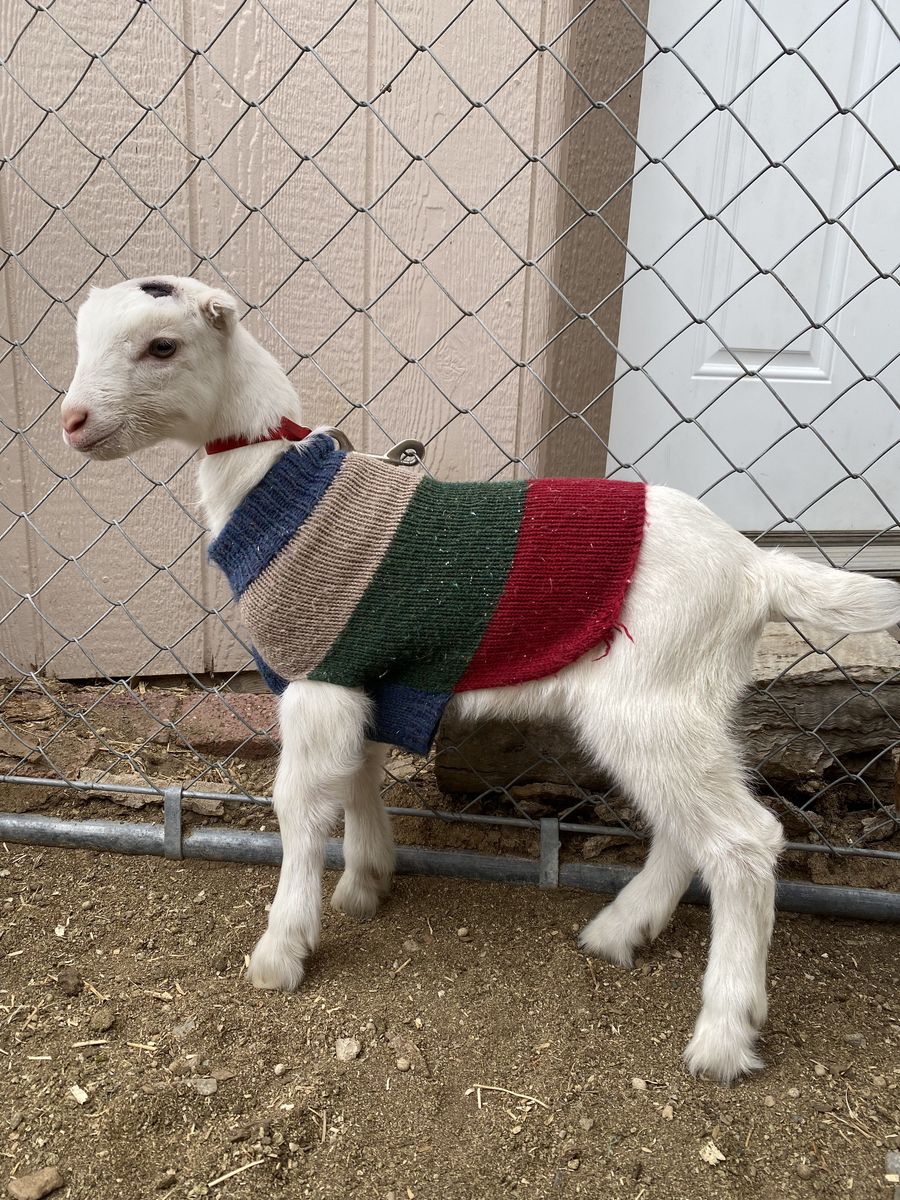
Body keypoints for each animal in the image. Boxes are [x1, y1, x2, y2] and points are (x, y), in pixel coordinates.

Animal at [61, 275, 900, 1082]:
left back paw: (723, 1037)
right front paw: (366, 883)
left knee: (744, 840)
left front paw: (282, 951)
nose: (71, 421)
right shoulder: (369, 676)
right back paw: (619, 932)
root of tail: (758, 570)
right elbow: (358, 777)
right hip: (687, 704)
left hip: (652, 702)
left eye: (162, 346)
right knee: (684, 831)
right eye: (81, 341)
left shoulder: (320, 676)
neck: (281, 487)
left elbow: (301, 806)